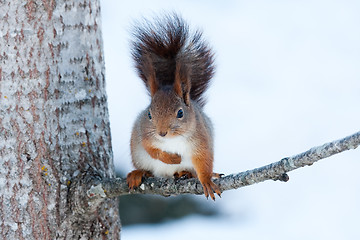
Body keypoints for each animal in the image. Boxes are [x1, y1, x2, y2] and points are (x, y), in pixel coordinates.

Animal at [126, 13, 222, 201]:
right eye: (149, 114)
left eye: (180, 113)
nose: (162, 132)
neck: (172, 140)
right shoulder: (144, 133)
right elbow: (152, 149)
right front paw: (171, 159)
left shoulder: (201, 138)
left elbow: (204, 159)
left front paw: (207, 179)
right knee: (147, 168)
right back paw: (138, 173)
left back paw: (185, 173)